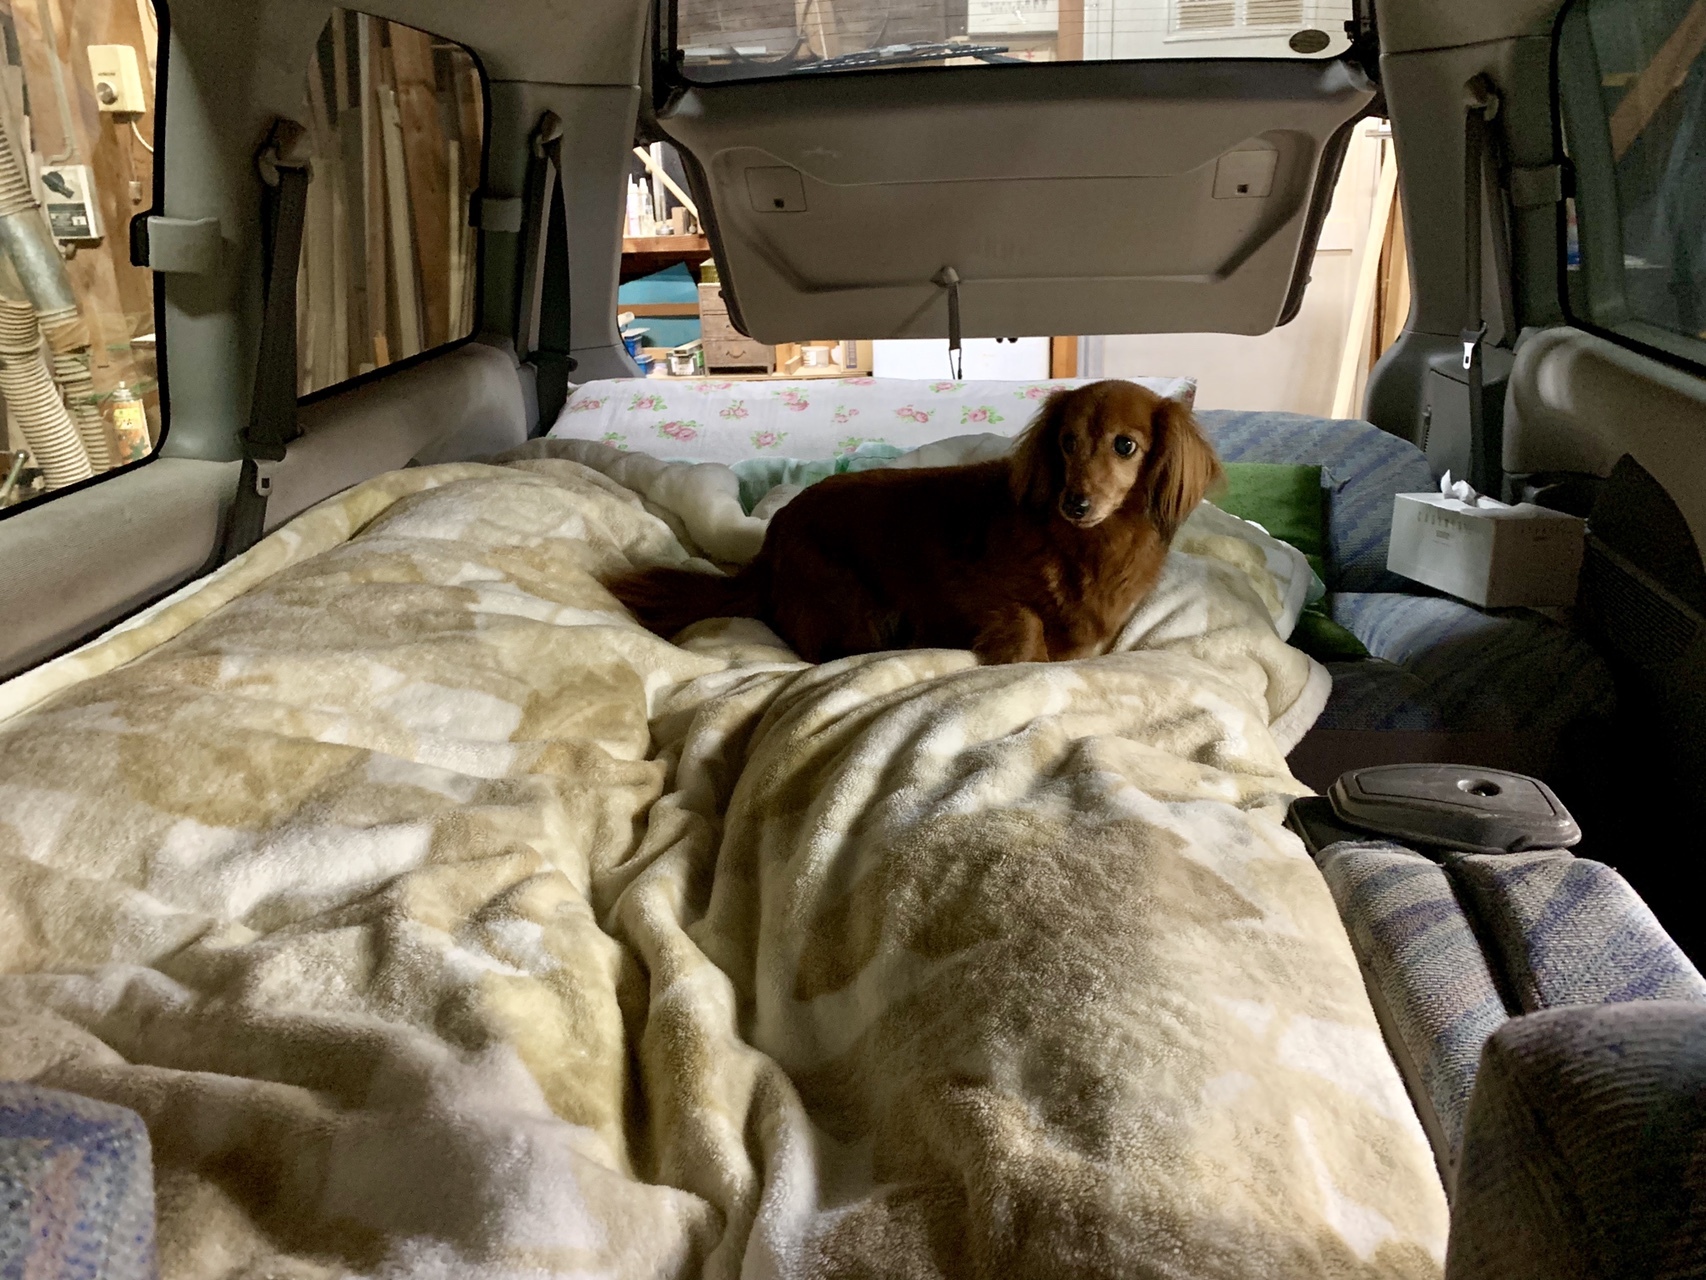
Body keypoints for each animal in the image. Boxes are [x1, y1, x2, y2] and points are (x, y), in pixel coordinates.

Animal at [606, 379, 1222, 665]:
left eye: (1126, 445)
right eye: (1066, 442)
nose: (1076, 503)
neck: (1083, 546)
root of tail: (769, 548)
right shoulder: (969, 591)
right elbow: (1024, 625)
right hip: (855, 608)